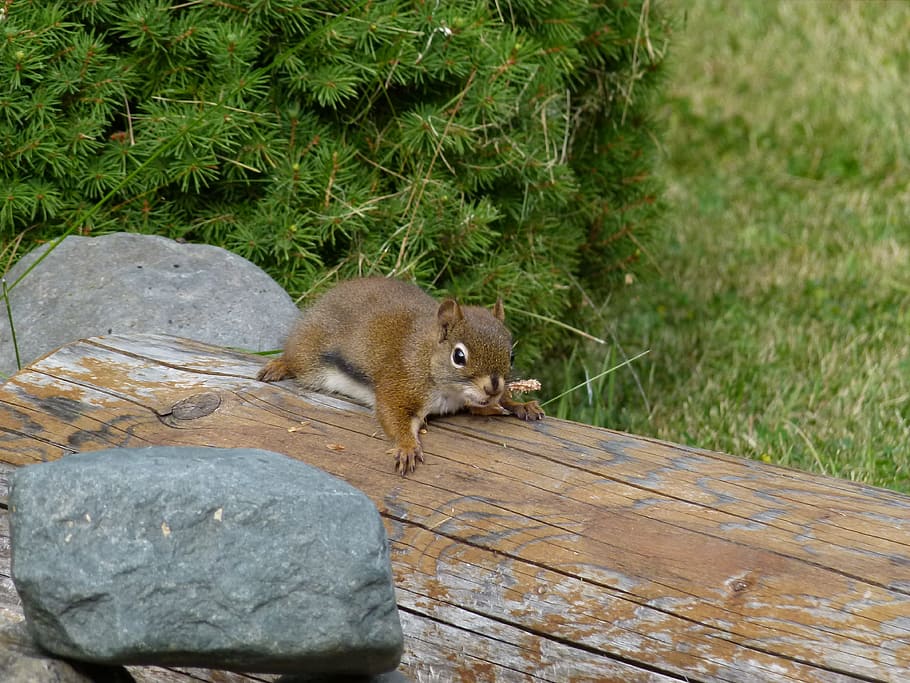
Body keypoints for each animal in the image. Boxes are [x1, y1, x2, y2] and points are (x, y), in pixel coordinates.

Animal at [257, 277, 544, 475]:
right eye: (459, 356)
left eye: (511, 356)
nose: (493, 387)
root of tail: (323, 302)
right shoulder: (401, 382)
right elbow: (391, 415)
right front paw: (407, 447)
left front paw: (520, 404)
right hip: (309, 356)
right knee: (295, 359)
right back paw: (280, 365)